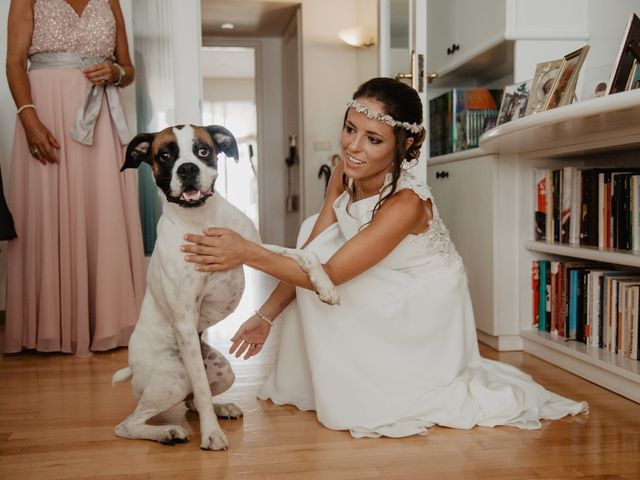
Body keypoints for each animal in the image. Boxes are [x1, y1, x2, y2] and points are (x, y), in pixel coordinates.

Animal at [112, 124, 338, 450]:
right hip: (175, 376)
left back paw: (222, 409)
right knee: (130, 423)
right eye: (165, 156)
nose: (188, 168)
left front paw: (326, 285)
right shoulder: (185, 322)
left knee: (191, 401)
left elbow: (303, 254)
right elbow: (202, 391)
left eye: (203, 150)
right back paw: (167, 432)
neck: (200, 218)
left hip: (223, 371)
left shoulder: (255, 250)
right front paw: (211, 434)